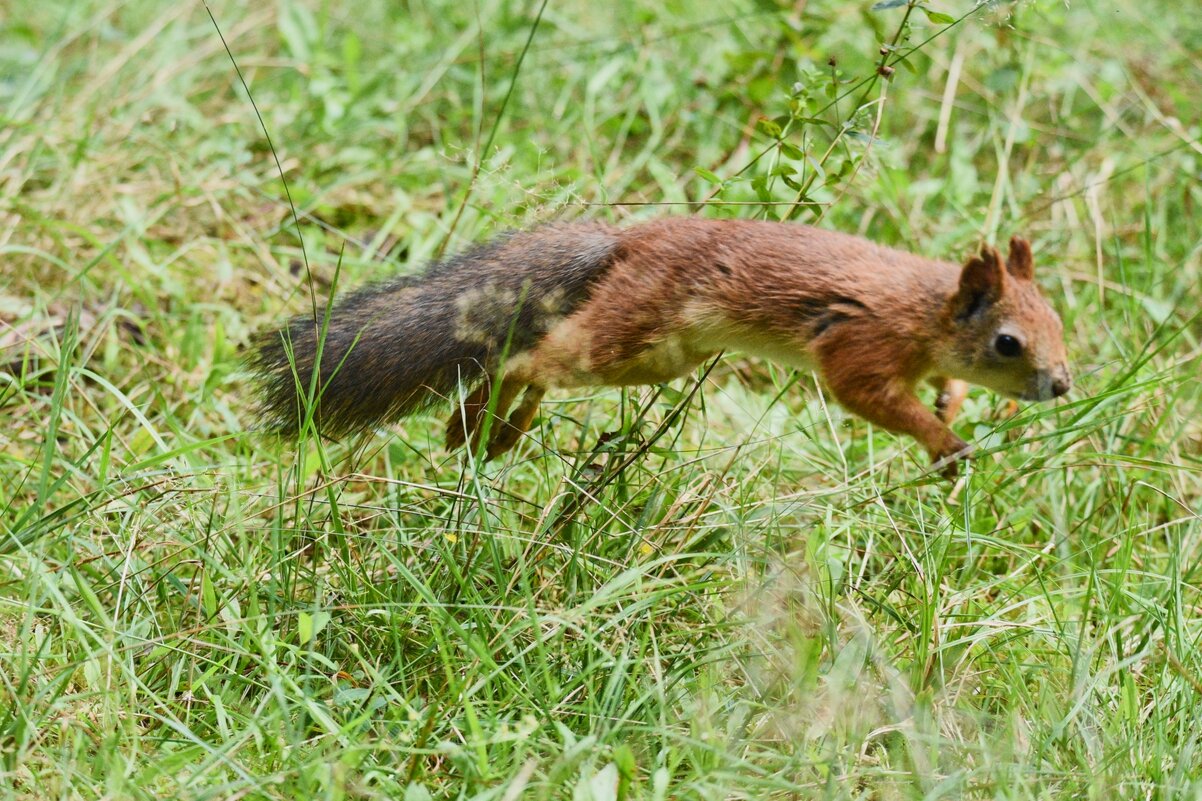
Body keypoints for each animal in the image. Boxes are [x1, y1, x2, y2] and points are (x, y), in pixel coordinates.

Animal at [251, 216, 1072, 473]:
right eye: (1008, 342)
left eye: (1060, 321)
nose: (1062, 385)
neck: (927, 313)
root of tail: (628, 242)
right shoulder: (859, 342)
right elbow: (866, 396)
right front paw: (944, 443)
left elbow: (937, 386)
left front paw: (951, 401)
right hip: (631, 334)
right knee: (529, 356)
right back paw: (480, 421)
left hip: (654, 358)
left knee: (543, 361)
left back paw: (497, 431)